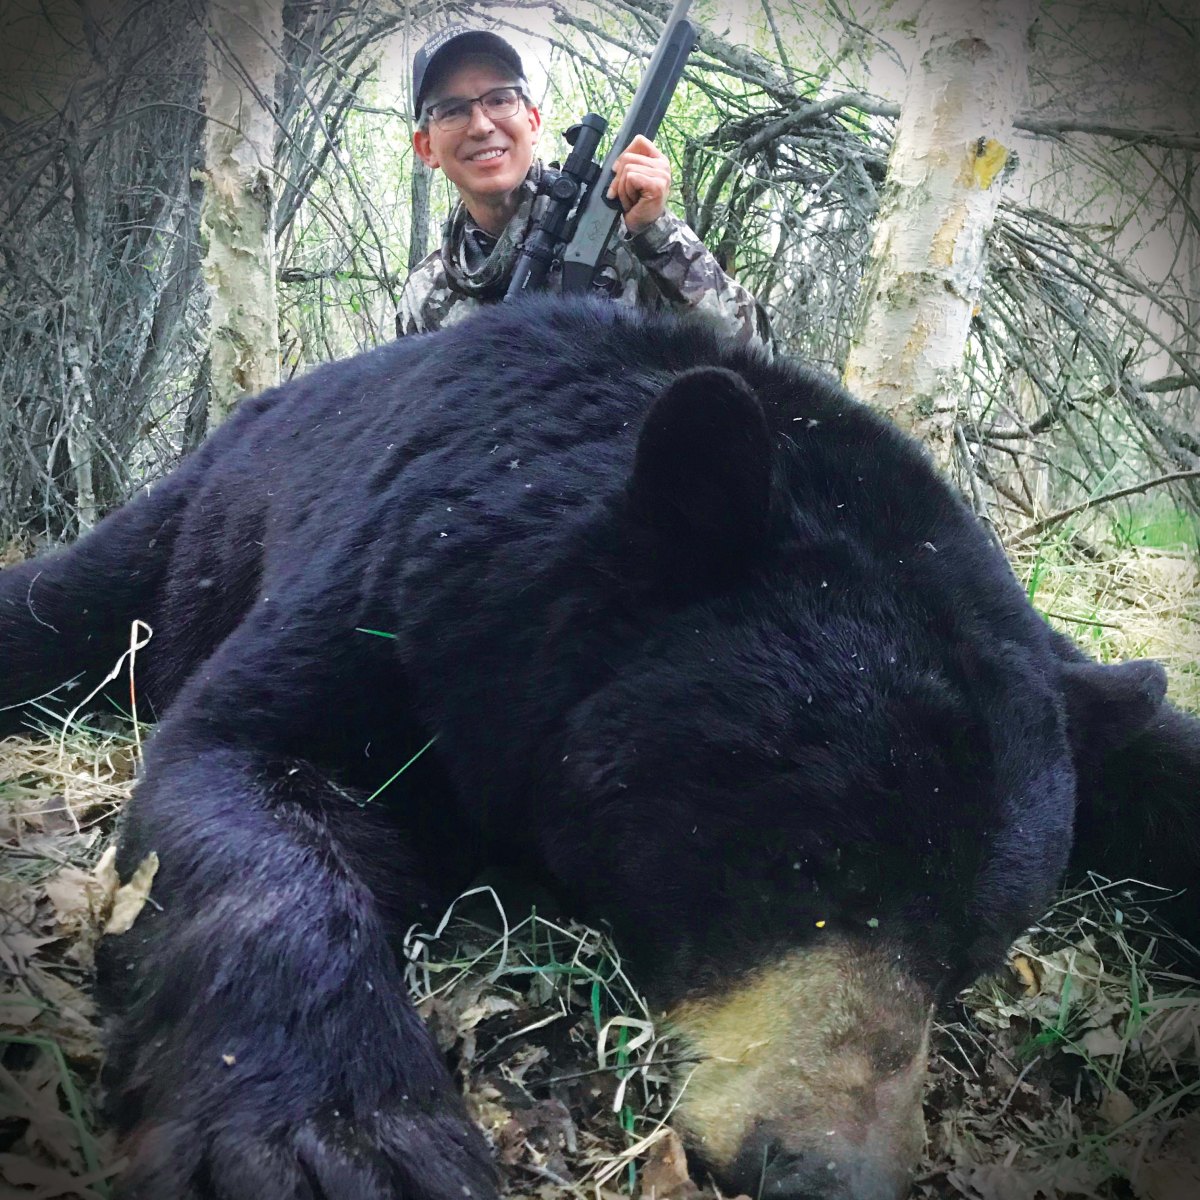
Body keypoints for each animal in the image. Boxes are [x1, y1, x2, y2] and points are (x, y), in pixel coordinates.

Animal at [0, 296, 1197, 1200]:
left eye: (975, 949)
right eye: (803, 871)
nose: (826, 1172)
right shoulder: (405, 600)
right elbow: (245, 771)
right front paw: (343, 1144)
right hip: (197, 522)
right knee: (65, 603)